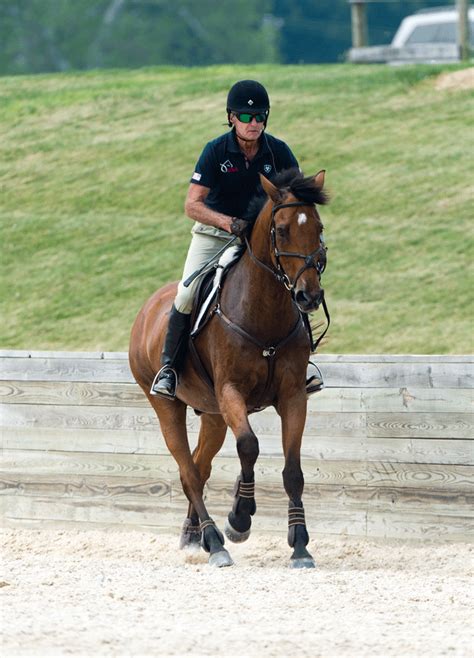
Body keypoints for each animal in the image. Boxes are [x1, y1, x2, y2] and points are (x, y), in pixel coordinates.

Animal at [130, 167, 330, 568]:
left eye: (318, 227)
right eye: (281, 229)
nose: (309, 296)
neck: (264, 310)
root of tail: (146, 310)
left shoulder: (293, 396)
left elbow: (293, 470)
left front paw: (300, 545)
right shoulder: (230, 392)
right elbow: (249, 446)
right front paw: (240, 518)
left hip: (211, 415)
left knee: (199, 466)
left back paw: (195, 536)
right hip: (165, 404)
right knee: (188, 472)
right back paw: (215, 542)